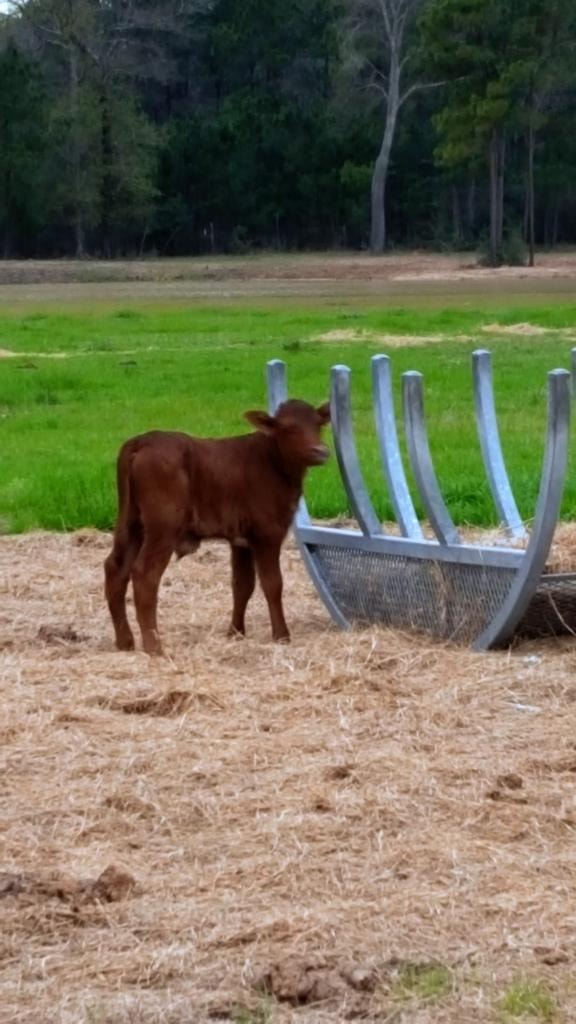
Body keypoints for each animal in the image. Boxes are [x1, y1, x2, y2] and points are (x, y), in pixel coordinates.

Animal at [104, 398, 331, 655]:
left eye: (318, 424)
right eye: (287, 428)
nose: (320, 451)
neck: (272, 461)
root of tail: (143, 440)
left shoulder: (241, 540)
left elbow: (242, 585)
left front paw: (235, 632)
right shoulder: (267, 532)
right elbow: (273, 584)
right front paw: (282, 635)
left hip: (130, 523)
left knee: (116, 568)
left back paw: (125, 641)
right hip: (163, 527)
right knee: (144, 574)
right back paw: (154, 646)